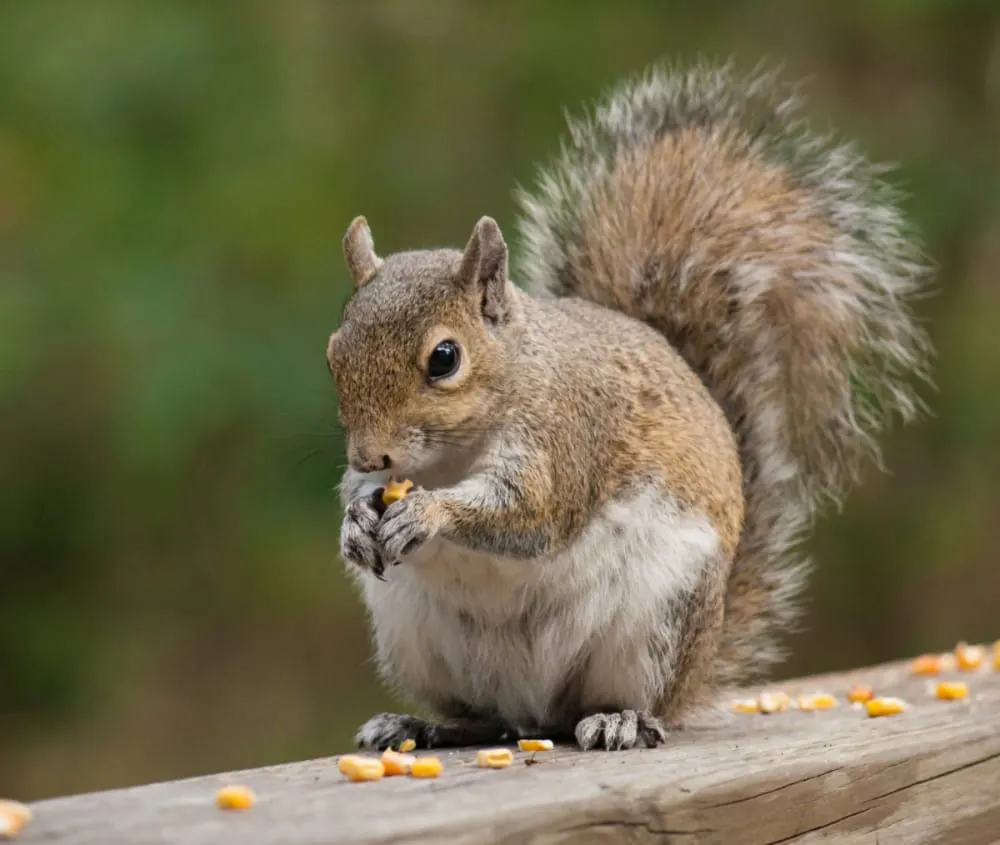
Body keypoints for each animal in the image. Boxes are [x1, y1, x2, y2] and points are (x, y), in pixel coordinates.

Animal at [325, 63, 931, 751]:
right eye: (334, 351)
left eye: (445, 359)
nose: (368, 454)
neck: (453, 454)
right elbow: (365, 497)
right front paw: (354, 520)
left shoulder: (567, 438)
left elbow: (529, 515)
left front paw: (427, 513)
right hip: (416, 637)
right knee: (486, 717)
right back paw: (421, 724)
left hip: (658, 622)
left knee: (622, 702)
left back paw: (621, 719)